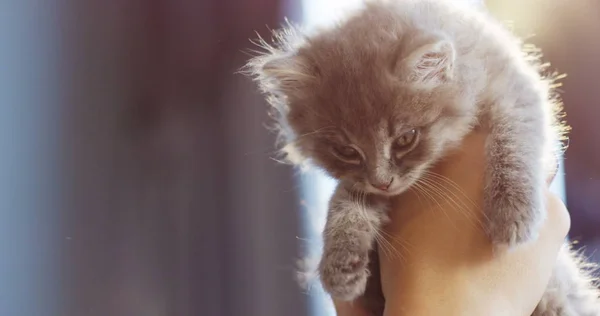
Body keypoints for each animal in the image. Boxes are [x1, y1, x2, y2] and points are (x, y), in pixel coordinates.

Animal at [244, 0, 600, 314]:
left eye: (405, 138)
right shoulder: (362, 183)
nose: (383, 182)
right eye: (347, 151)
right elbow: (345, 200)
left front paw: (512, 212)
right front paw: (340, 261)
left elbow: (513, 143)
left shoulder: (516, 93)